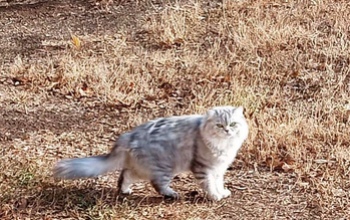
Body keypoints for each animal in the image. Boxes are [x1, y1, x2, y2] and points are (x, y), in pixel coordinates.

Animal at [53, 106, 249, 201]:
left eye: (233, 124)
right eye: (219, 125)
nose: (227, 130)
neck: (224, 145)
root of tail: (129, 135)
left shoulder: (218, 168)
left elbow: (218, 183)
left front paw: (222, 192)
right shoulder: (204, 168)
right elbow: (209, 185)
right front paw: (215, 196)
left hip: (143, 167)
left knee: (125, 175)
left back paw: (125, 190)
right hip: (165, 167)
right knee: (157, 184)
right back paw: (172, 194)